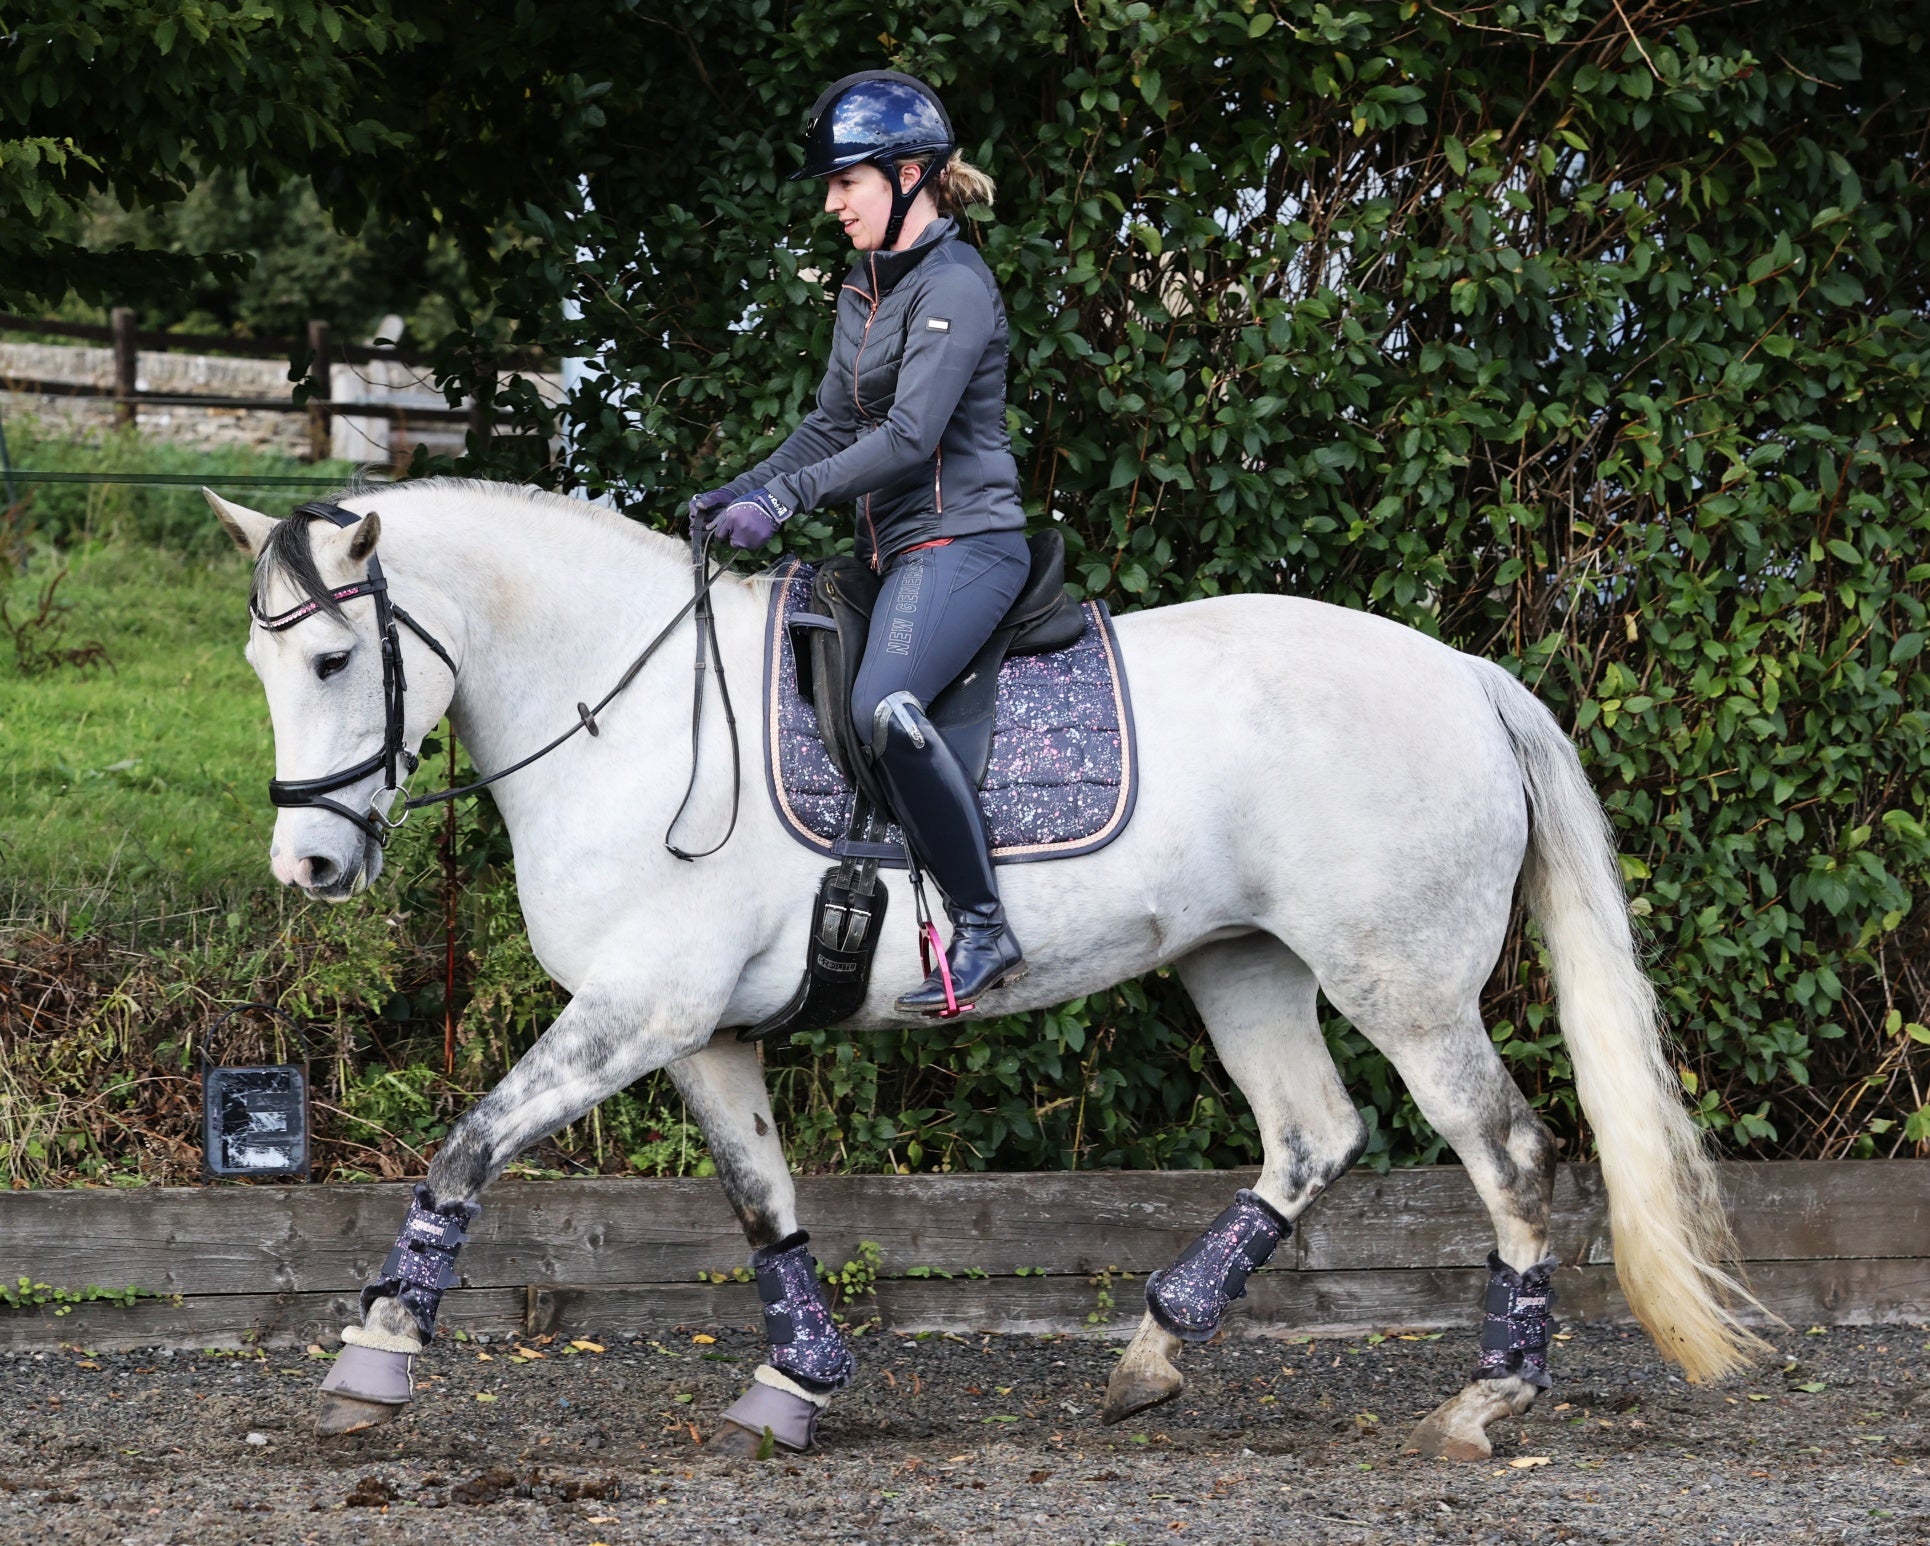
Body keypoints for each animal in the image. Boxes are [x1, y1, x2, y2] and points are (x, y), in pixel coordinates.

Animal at [207, 476, 1767, 1451]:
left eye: (335, 661)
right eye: (258, 666)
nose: (310, 871)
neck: (628, 709)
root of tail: (1463, 673)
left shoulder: (640, 1008)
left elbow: (466, 1145)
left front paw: (373, 1359)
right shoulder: (703, 1029)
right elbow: (765, 1201)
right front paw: (796, 1379)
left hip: (1405, 985)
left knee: (1509, 1153)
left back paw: (1486, 1405)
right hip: (1241, 963)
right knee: (1312, 1135)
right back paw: (1152, 1356)